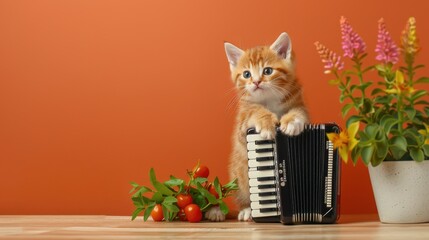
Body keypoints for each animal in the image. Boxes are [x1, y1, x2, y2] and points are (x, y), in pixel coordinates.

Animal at [206, 31, 308, 221]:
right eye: (246, 74)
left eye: (267, 71)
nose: (256, 82)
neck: (269, 99)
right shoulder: (242, 122)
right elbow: (254, 112)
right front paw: (266, 123)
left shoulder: (298, 102)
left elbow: (300, 112)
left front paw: (291, 122)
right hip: (238, 176)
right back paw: (246, 210)